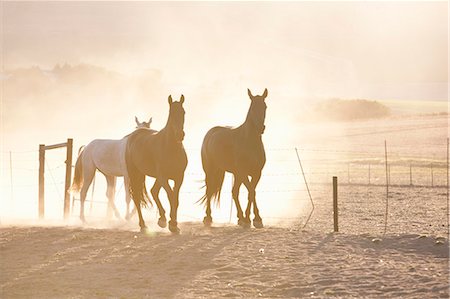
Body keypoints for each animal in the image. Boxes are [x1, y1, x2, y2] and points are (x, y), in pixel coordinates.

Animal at [126, 95, 188, 233]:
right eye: (171, 113)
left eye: (183, 112)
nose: (180, 135)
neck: (170, 148)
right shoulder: (164, 177)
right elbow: (171, 196)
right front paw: (172, 224)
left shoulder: (179, 177)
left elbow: (175, 199)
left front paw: (173, 224)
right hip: (135, 174)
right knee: (137, 197)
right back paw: (143, 225)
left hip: (155, 177)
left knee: (153, 191)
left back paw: (162, 219)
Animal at [200, 88, 268, 229]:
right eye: (252, 107)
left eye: (265, 106)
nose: (261, 128)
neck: (250, 142)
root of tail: (210, 133)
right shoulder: (243, 173)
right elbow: (251, 192)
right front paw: (253, 219)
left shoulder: (256, 173)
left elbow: (251, 192)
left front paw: (252, 219)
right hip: (210, 171)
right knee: (209, 190)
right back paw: (208, 217)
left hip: (235, 175)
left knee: (234, 192)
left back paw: (240, 217)